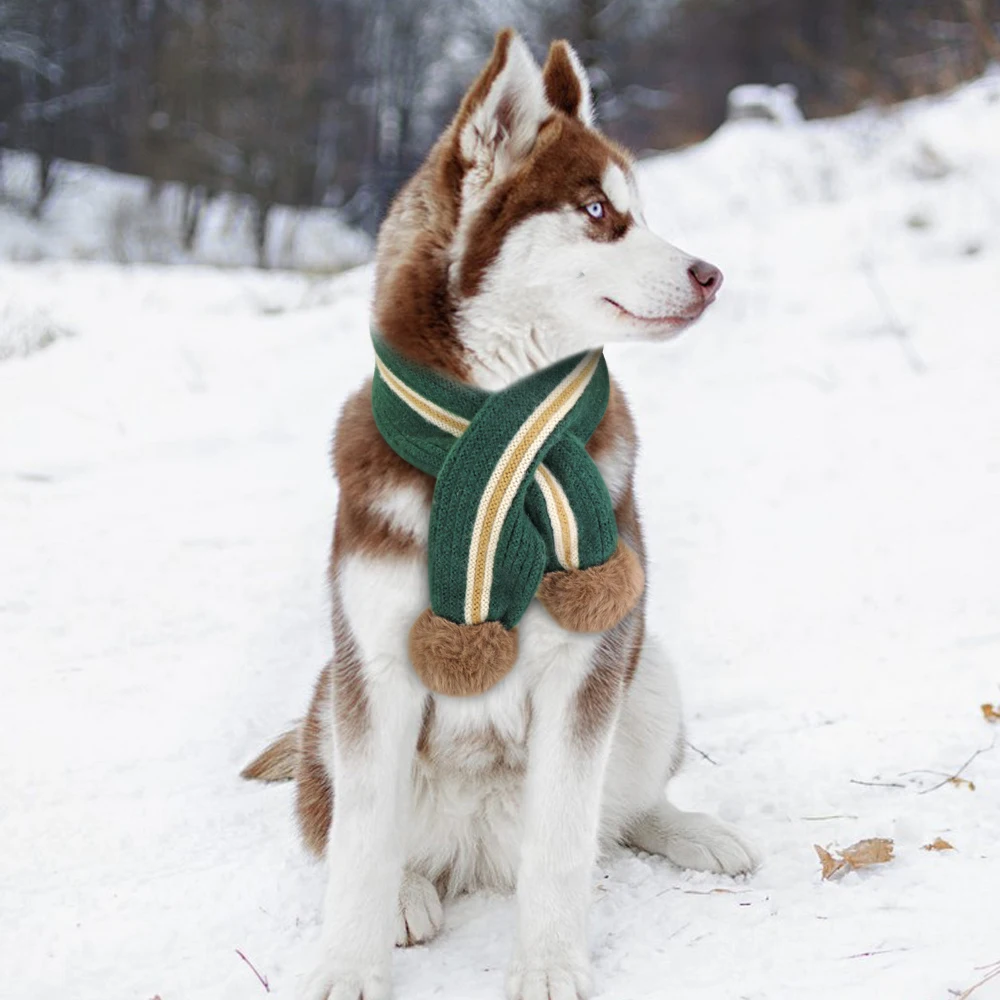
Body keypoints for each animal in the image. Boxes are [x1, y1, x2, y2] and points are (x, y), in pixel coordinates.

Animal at [246, 29, 760, 1000]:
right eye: (597, 211)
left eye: (640, 210)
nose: (713, 274)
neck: (495, 438)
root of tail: (477, 847)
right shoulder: (374, 664)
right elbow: (360, 848)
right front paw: (350, 965)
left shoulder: (585, 666)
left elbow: (562, 845)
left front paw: (550, 965)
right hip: (332, 698)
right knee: (342, 827)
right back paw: (410, 893)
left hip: (647, 673)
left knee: (618, 812)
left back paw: (691, 829)